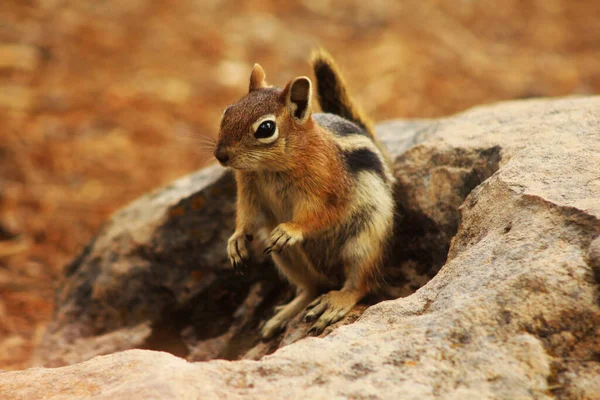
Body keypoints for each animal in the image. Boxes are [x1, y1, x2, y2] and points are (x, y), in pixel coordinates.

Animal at [214, 49, 394, 338]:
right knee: (311, 287)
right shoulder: (248, 190)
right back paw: (283, 315)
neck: (271, 168)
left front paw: (291, 229)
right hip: (285, 257)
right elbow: (247, 216)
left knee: (360, 284)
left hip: (364, 243)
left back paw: (335, 302)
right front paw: (236, 240)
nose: (220, 155)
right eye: (227, 112)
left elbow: (322, 213)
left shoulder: (331, 186)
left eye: (265, 128)